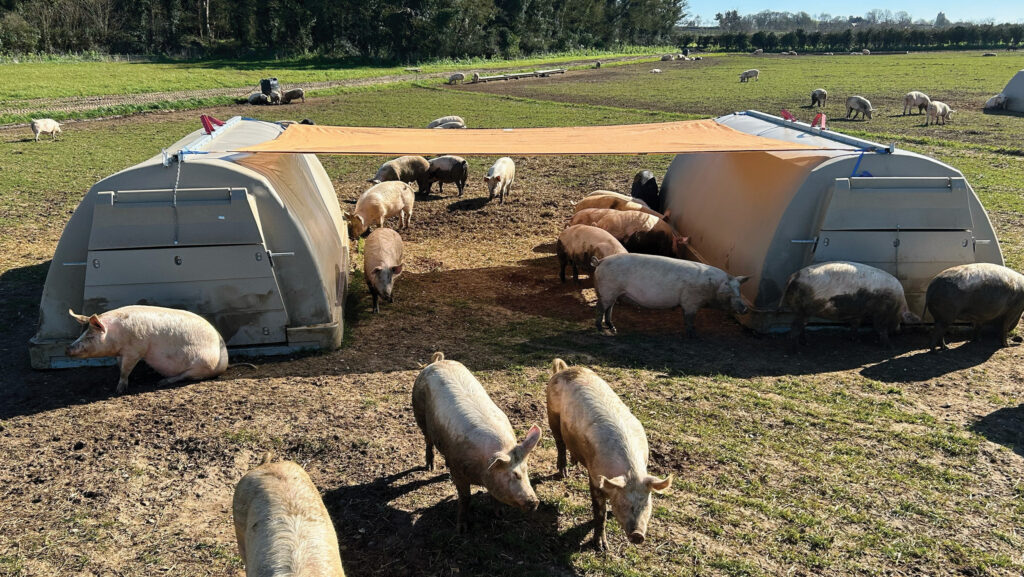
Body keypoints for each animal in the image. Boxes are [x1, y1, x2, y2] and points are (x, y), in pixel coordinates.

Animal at [66, 305, 228, 394]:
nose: (67, 349)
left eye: (90, 336)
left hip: (202, 365)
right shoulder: (122, 353)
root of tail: (225, 362)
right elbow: (119, 365)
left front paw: (119, 390)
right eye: (82, 334)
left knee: (185, 376)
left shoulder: (135, 350)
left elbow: (125, 370)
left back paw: (161, 382)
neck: (117, 334)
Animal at [412, 352, 542, 532]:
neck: (481, 471)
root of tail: (436, 362)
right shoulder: (458, 470)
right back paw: (430, 467)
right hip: (419, 413)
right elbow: (465, 498)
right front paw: (462, 529)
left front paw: (499, 515)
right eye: (513, 474)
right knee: (428, 440)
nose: (535, 502)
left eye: (526, 470)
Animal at [546, 358, 672, 550]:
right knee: (560, 443)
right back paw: (563, 473)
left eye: (646, 503)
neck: (631, 472)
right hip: (551, 414)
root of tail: (564, 370)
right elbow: (600, 513)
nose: (638, 535)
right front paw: (601, 547)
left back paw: (574, 463)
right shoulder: (595, 477)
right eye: (623, 503)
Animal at [592, 253, 749, 336]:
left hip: (613, 291)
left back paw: (613, 329)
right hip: (608, 289)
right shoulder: (691, 301)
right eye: (730, 292)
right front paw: (694, 335)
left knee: (609, 307)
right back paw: (600, 330)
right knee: (600, 307)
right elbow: (689, 319)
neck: (712, 289)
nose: (745, 309)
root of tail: (601, 261)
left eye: (739, 291)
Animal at [780, 261, 920, 351]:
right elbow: (880, 328)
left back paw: (806, 343)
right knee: (795, 328)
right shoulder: (881, 312)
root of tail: (795, 275)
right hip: (804, 310)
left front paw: (855, 340)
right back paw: (797, 350)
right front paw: (890, 347)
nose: (898, 332)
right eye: (900, 319)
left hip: (801, 311)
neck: (897, 303)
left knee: (801, 326)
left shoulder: (858, 312)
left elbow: (855, 324)